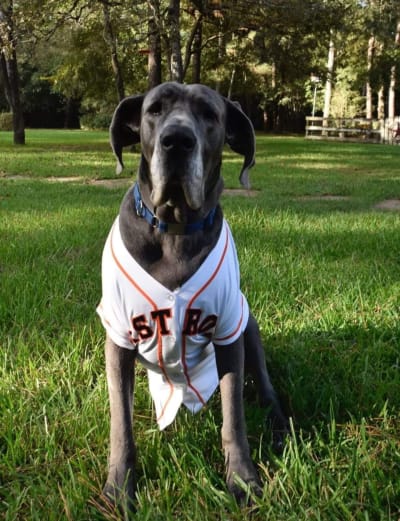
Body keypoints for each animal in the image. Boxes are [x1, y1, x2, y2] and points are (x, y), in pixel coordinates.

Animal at [98, 81, 290, 512]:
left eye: (209, 114)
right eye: (155, 109)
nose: (177, 141)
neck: (174, 229)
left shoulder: (228, 331)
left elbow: (233, 415)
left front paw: (242, 478)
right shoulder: (118, 337)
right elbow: (121, 423)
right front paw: (120, 486)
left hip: (248, 324)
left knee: (264, 384)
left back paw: (278, 421)